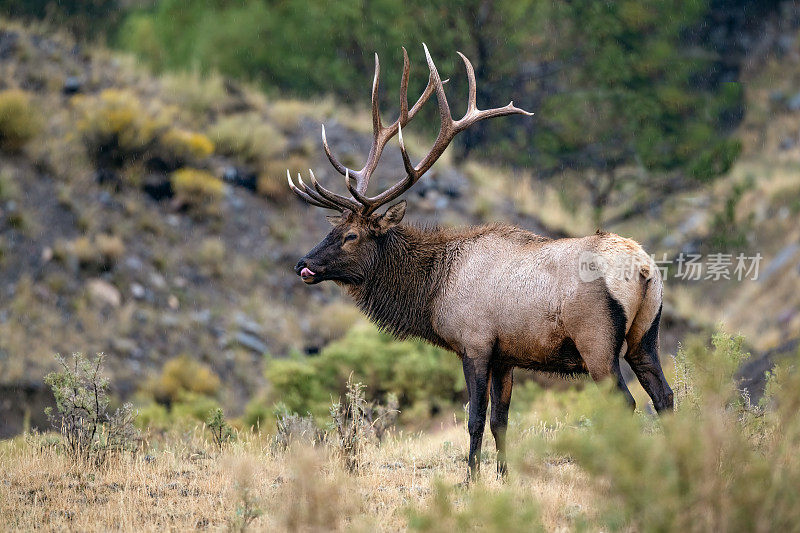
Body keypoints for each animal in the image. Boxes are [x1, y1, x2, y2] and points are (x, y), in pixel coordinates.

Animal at [290, 44, 672, 478]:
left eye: (351, 235)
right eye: (334, 228)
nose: (303, 264)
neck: (432, 291)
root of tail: (643, 268)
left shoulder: (474, 344)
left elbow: (474, 419)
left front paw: (470, 479)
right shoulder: (506, 356)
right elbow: (500, 420)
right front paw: (503, 476)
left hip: (597, 341)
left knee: (627, 402)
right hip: (646, 334)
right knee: (664, 396)